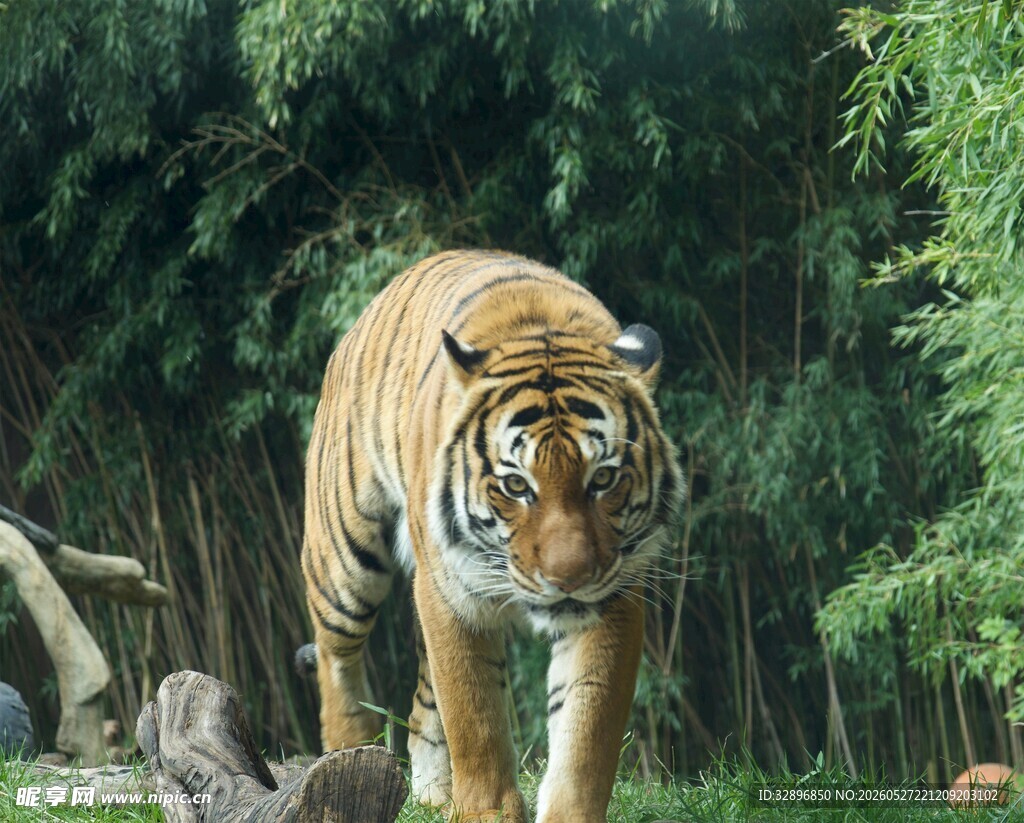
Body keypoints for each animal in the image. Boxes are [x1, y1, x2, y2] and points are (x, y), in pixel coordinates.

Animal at [301, 249, 683, 822]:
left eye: (603, 479)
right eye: (516, 485)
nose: (568, 579)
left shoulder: (614, 599)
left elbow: (586, 728)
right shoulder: (449, 591)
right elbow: (474, 712)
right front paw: (485, 811)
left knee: (422, 706)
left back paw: (432, 795)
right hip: (345, 560)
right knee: (336, 659)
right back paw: (348, 758)